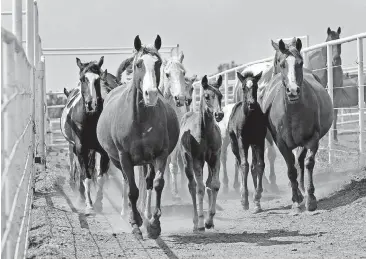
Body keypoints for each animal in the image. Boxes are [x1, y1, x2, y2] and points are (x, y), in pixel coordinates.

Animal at [96, 35, 179, 240]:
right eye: (138, 64)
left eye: (158, 63)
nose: (151, 94)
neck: (140, 119)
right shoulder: (124, 157)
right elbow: (133, 190)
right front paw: (135, 224)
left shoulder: (160, 155)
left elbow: (157, 184)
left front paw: (154, 224)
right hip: (117, 159)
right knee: (127, 181)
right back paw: (130, 214)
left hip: (147, 161)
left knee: (147, 182)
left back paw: (146, 215)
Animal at [179, 74, 224, 232]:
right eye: (206, 96)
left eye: (221, 96)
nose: (219, 114)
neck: (205, 133)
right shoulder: (197, 159)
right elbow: (200, 188)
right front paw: (200, 222)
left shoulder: (215, 157)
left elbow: (214, 185)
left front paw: (209, 220)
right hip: (187, 161)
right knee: (192, 186)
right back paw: (195, 222)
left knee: (209, 183)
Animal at [227, 71, 268, 213]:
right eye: (244, 87)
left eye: (256, 86)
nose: (252, 104)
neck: (250, 119)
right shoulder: (242, 141)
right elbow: (244, 165)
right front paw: (244, 200)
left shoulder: (259, 140)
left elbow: (260, 165)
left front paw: (257, 196)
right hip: (234, 145)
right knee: (239, 164)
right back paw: (241, 194)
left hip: (253, 144)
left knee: (254, 166)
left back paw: (257, 203)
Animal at [264, 38, 334, 213]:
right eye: (281, 63)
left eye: (300, 63)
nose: (293, 90)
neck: (293, 112)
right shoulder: (281, 143)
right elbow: (291, 169)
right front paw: (296, 200)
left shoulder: (312, 138)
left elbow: (308, 163)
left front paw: (310, 198)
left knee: (301, 162)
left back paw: (302, 190)